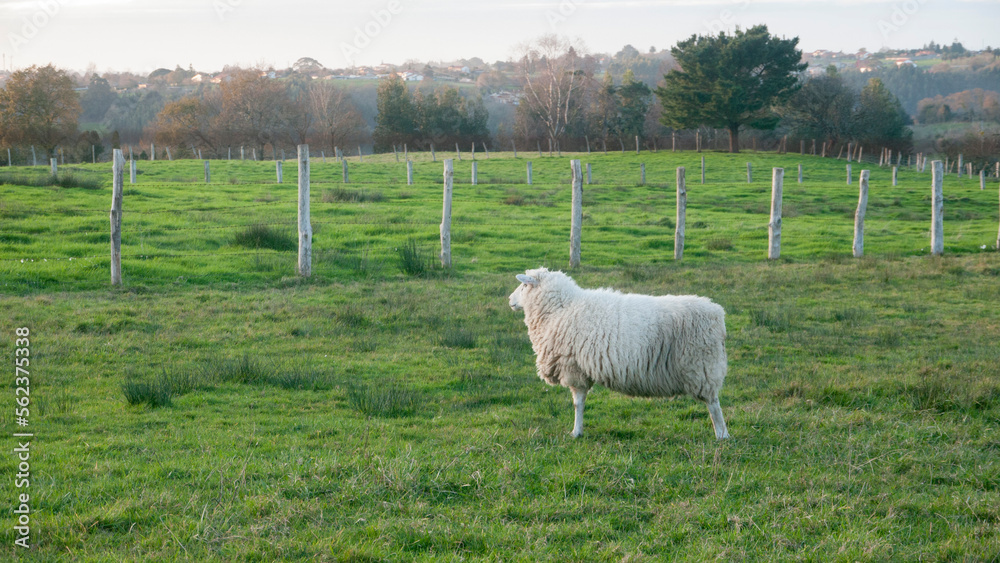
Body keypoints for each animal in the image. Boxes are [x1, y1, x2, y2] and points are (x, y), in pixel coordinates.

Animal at [508, 267, 730, 440]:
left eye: (524, 286)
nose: (509, 300)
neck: (562, 308)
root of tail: (717, 314)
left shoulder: (574, 368)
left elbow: (578, 404)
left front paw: (576, 432)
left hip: (702, 366)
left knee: (713, 404)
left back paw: (722, 435)